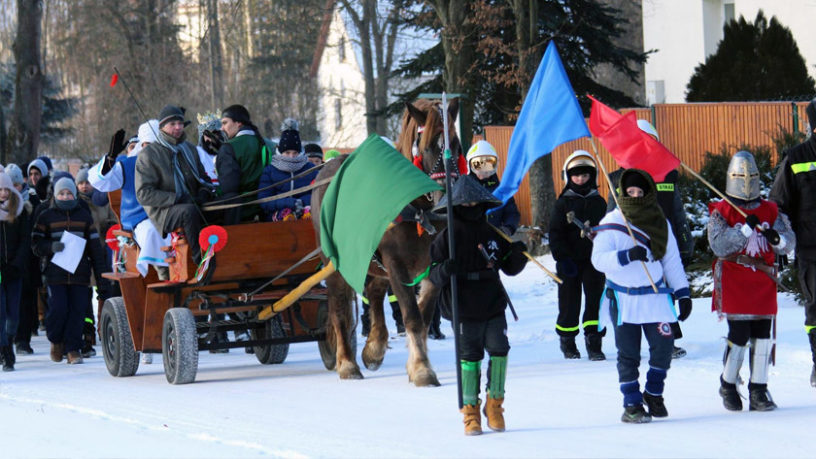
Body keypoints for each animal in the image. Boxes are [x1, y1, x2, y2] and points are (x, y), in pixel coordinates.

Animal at [311, 98, 461, 385]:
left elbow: (424, 317)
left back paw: (374, 348)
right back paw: (347, 363)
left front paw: (415, 364)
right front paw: (422, 369)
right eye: (427, 146)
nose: (448, 197)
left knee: (374, 293)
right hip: (336, 264)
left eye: (456, 145)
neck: (417, 209)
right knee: (338, 307)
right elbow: (412, 316)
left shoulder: (435, 265)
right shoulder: (396, 265)